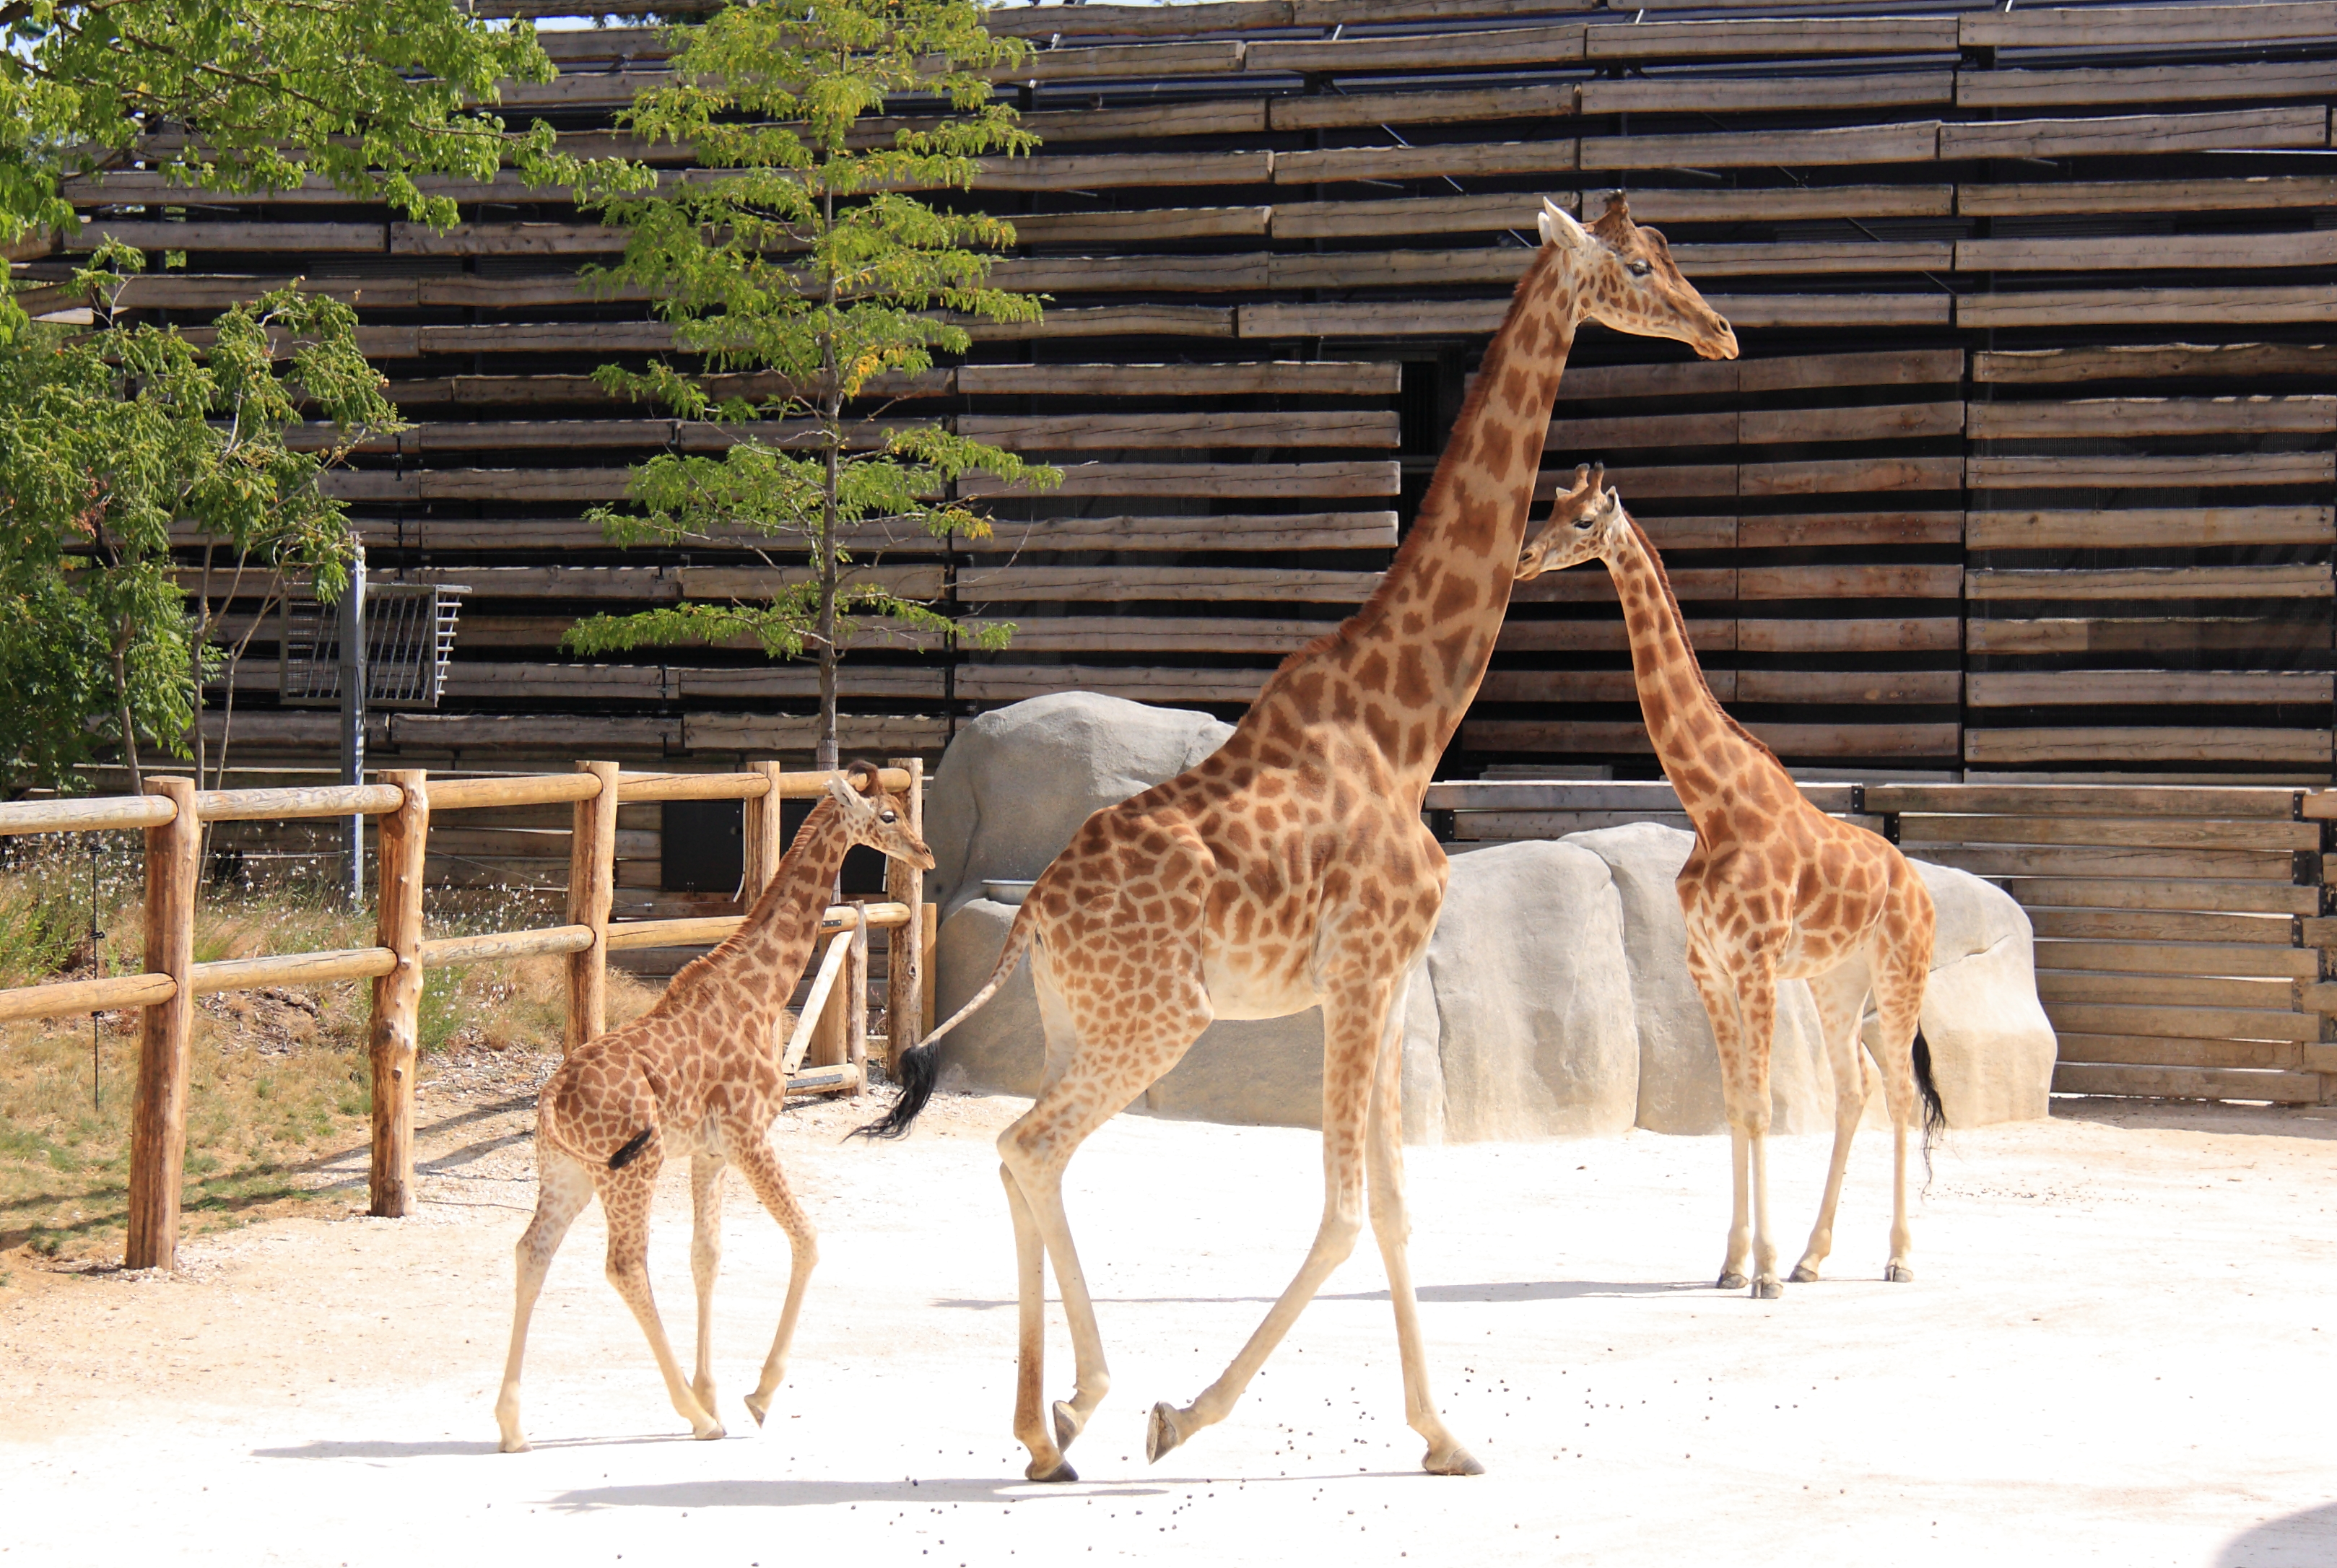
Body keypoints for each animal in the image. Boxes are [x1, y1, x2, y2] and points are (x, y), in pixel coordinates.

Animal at [497, 766, 934, 1458]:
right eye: (888, 816)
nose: (925, 855)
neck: (761, 991)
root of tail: (549, 1105)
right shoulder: (749, 1135)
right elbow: (806, 1239)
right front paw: (755, 1396)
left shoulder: (710, 1150)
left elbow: (707, 1257)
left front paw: (715, 1391)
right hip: (631, 1170)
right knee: (624, 1265)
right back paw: (693, 1417)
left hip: (567, 1173)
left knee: (531, 1253)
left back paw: (513, 1425)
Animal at [860, 196, 1738, 1486]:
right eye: (1635, 265)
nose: (1720, 330)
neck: (1407, 721)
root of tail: (1033, 916)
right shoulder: (1366, 968)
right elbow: (1343, 1210)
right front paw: (1187, 1416)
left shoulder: (1377, 979)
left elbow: (1396, 1207)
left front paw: (1443, 1436)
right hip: (1155, 1021)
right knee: (1027, 1146)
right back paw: (1066, 1417)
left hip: (1083, 1023)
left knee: (1034, 1158)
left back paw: (1056, 1422)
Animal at [1505, 467, 1944, 1299]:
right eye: (1546, 507)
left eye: (1582, 520)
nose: (1523, 560)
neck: (1713, 806)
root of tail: (1918, 884)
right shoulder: (1708, 967)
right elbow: (1736, 1104)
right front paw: (1738, 1262)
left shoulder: (1756, 963)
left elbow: (1760, 1106)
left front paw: (1762, 1272)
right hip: (1836, 982)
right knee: (1856, 1088)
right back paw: (1813, 1257)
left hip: (1900, 971)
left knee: (1902, 1091)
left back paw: (1901, 1257)